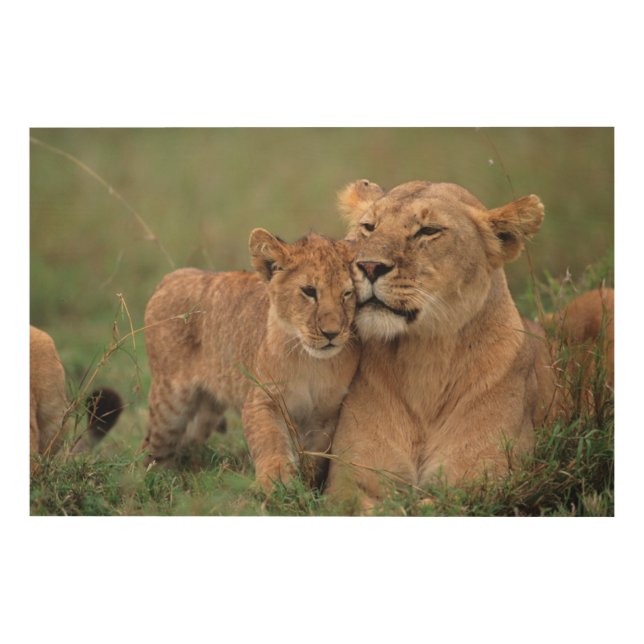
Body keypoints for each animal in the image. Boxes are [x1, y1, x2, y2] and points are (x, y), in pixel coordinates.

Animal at [141, 229, 360, 491]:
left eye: (347, 294)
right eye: (309, 291)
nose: (331, 333)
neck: (312, 363)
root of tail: (172, 276)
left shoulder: (326, 414)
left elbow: (314, 458)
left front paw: (306, 487)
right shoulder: (262, 399)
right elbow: (270, 439)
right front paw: (275, 480)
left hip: (208, 409)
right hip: (169, 404)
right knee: (151, 446)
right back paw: (148, 480)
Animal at [326, 179, 613, 509]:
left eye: (428, 230)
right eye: (369, 227)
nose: (369, 266)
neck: (424, 358)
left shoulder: (483, 481)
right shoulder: (348, 483)